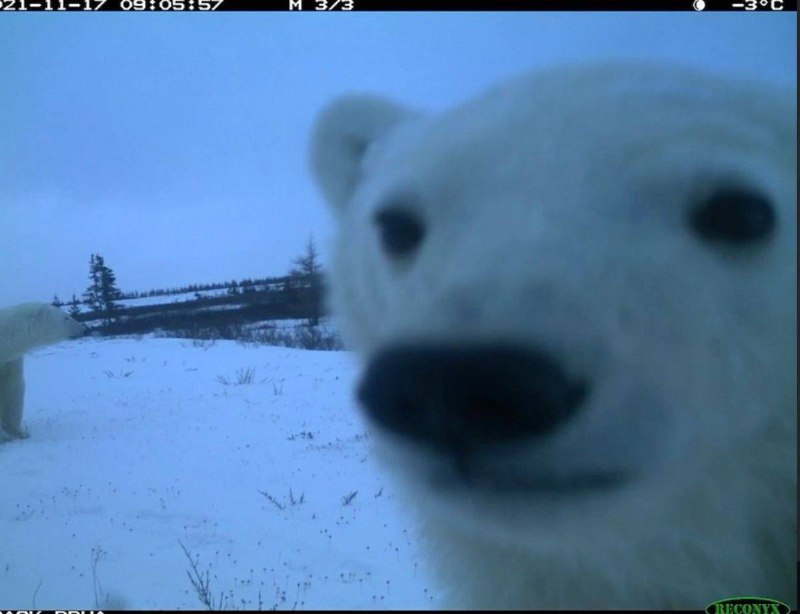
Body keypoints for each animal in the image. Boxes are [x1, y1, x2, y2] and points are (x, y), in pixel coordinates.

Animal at [0, 304, 85, 442]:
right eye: (66, 317)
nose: (83, 329)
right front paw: (4, 436)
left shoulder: (10, 361)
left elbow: (12, 388)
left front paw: (20, 432)